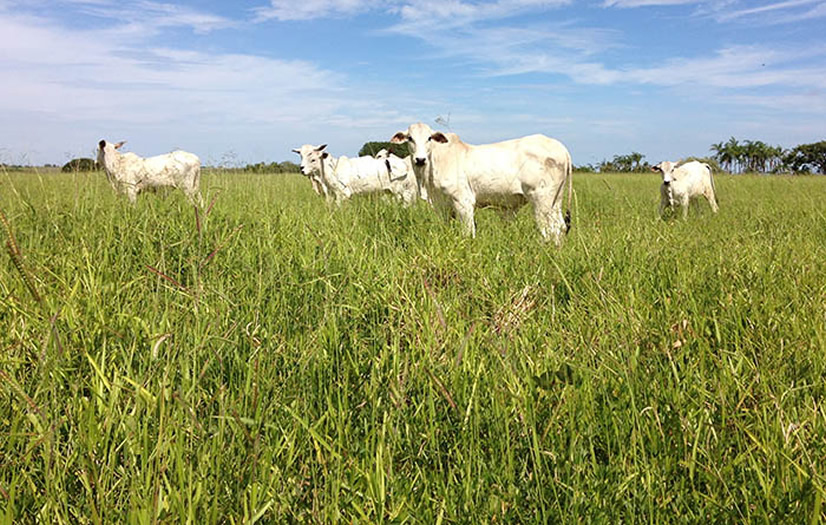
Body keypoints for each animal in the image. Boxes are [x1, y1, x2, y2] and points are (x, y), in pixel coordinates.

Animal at [390, 123, 568, 244]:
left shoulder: (463, 201)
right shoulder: (443, 206)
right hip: (555, 201)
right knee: (561, 227)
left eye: (429, 138)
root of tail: (559, 146)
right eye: (410, 138)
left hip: (541, 201)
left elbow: (467, 231)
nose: (420, 159)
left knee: (550, 229)